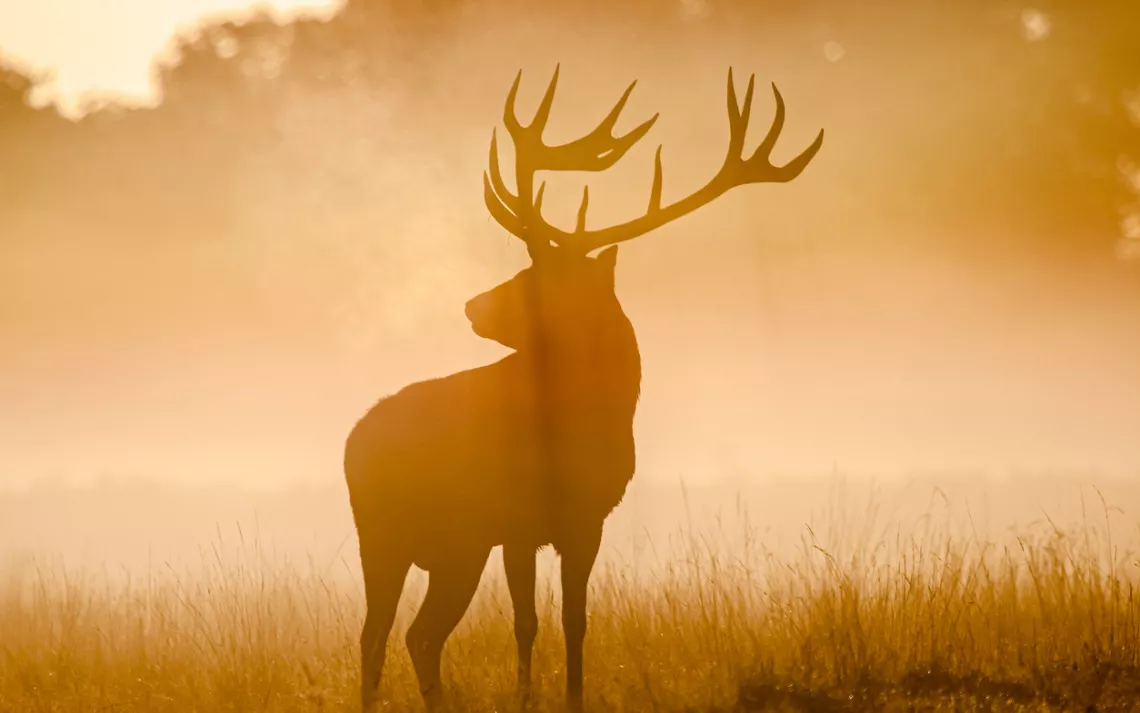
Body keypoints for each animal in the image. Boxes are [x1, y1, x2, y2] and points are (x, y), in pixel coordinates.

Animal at [343, 65, 823, 712]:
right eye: (529, 264)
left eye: (543, 276)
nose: (472, 306)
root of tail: (353, 441)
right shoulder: (516, 524)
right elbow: (526, 623)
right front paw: (527, 698)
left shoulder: (587, 521)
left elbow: (575, 621)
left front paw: (570, 695)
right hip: (397, 535)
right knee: (389, 635)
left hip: (443, 544)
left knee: (406, 634)